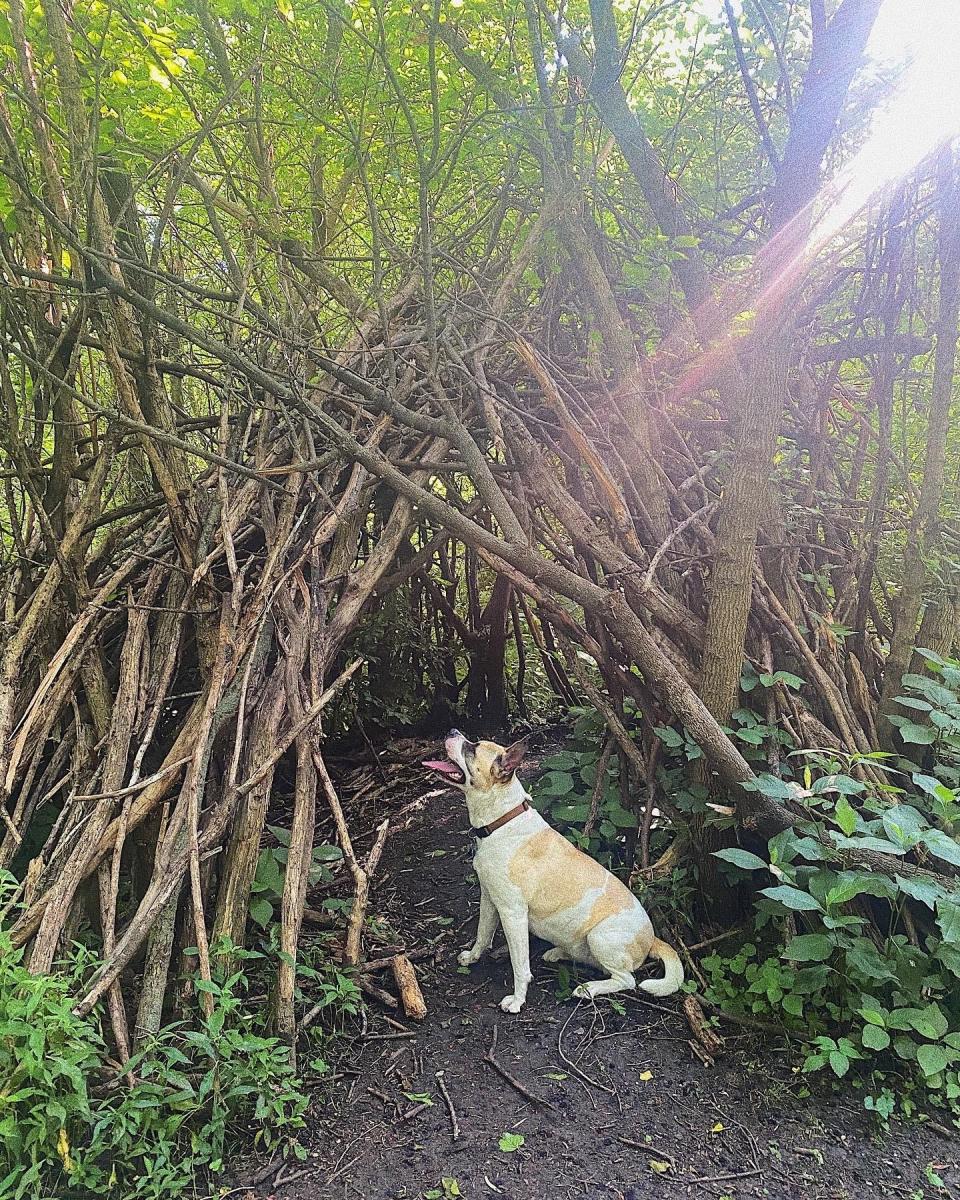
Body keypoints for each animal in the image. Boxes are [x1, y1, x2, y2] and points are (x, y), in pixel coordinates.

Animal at [422, 729, 681, 1012]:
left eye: (473, 748)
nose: (452, 731)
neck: (503, 820)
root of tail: (653, 938)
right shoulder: (489, 899)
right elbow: (482, 934)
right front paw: (472, 957)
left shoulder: (513, 913)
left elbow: (520, 966)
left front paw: (517, 1000)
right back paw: (558, 953)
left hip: (601, 936)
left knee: (626, 980)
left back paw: (588, 989)